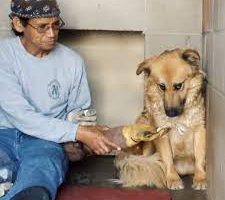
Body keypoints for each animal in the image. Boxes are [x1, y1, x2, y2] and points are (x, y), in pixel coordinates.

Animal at [115, 48, 207, 191]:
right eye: (161, 86)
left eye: (178, 86)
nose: (170, 113)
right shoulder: (162, 135)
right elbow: (168, 158)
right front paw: (173, 179)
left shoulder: (199, 130)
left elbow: (200, 157)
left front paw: (200, 178)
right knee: (146, 159)